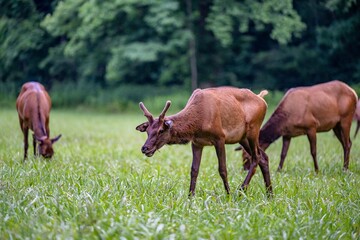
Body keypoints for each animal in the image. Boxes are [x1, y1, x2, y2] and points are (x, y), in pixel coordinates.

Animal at [136, 87, 272, 196]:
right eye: (147, 130)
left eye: (160, 130)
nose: (145, 148)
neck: (199, 123)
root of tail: (262, 99)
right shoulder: (197, 142)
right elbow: (194, 170)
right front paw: (190, 196)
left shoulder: (220, 137)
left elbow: (222, 169)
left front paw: (228, 195)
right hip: (242, 137)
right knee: (263, 157)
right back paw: (270, 194)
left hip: (253, 129)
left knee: (256, 157)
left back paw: (241, 190)